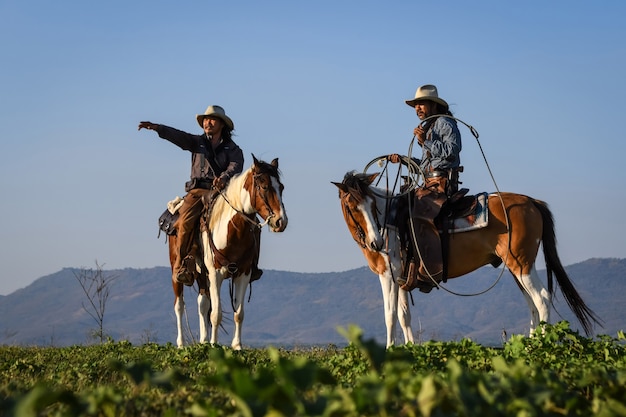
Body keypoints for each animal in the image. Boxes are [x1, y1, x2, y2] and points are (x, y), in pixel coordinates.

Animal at [167, 155, 286, 348]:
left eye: (281, 187)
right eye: (264, 186)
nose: (281, 222)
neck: (233, 231)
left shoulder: (243, 273)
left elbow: (239, 313)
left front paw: (236, 346)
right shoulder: (216, 273)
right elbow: (216, 314)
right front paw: (214, 345)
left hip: (201, 274)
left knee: (202, 303)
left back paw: (203, 340)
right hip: (177, 270)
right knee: (179, 305)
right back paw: (182, 343)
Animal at [334, 170, 604, 342]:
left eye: (371, 205)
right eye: (352, 206)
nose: (376, 243)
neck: (390, 221)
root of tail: (532, 202)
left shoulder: (388, 276)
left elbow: (390, 316)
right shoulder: (401, 278)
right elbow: (404, 316)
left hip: (522, 265)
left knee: (542, 299)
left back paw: (541, 349)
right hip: (518, 268)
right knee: (532, 305)